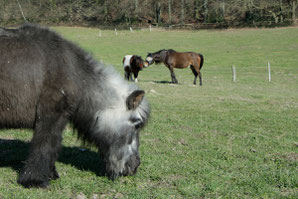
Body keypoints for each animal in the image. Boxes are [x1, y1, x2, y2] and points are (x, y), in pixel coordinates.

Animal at [0, 24, 150, 188]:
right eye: (136, 124)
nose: (135, 166)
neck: (74, 73)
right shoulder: (50, 118)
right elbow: (44, 145)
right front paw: (34, 180)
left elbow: (52, 146)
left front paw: (50, 174)